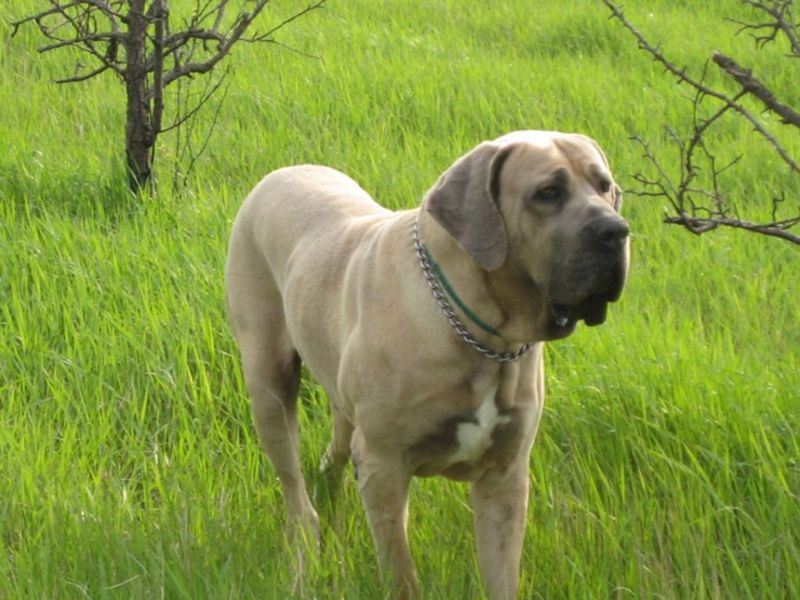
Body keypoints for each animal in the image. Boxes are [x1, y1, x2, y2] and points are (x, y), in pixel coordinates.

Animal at [225, 129, 632, 596]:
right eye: (547, 193)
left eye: (604, 185)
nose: (617, 230)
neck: (483, 334)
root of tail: (276, 176)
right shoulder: (384, 466)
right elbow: (401, 573)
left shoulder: (505, 477)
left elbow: (501, 574)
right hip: (267, 382)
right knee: (293, 486)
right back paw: (305, 548)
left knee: (337, 441)